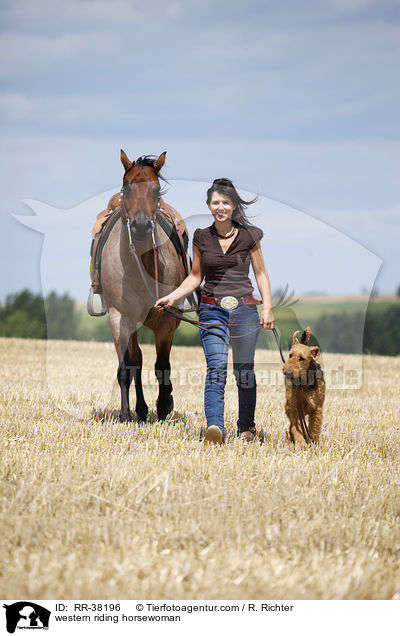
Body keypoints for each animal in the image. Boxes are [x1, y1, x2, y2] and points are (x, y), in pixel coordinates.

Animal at [94, 150, 187, 422]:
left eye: (156, 189)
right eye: (126, 186)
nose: (142, 225)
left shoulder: (166, 321)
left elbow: (162, 367)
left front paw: (164, 406)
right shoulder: (120, 317)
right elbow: (127, 366)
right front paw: (126, 414)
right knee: (136, 359)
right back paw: (140, 409)